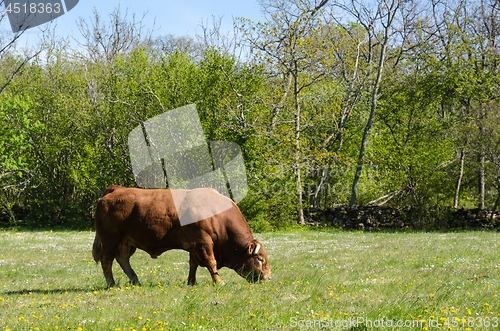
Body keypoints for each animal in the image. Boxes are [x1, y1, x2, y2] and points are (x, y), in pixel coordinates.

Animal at [92, 185, 272, 290]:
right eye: (260, 259)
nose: (268, 277)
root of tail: (114, 189)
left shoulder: (194, 245)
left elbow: (193, 264)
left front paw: (191, 282)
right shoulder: (203, 242)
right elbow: (210, 262)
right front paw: (219, 281)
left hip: (126, 242)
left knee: (122, 259)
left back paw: (135, 280)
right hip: (110, 240)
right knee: (107, 260)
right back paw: (111, 284)